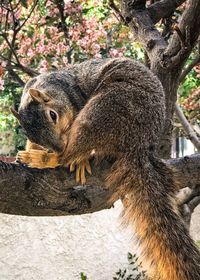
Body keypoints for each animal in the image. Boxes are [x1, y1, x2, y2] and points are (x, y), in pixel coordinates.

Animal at [11, 58, 200, 278]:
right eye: (31, 135)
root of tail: (139, 143)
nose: (56, 147)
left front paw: (76, 160)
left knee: (71, 152)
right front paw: (31, 150)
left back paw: (46, 158)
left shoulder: (77, 103)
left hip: (103, 109)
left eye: (53, 115)